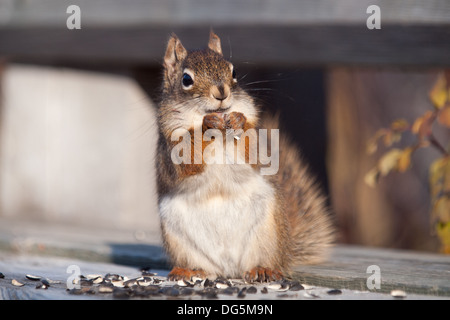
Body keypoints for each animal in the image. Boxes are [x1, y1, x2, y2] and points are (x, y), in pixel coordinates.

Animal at [156, 31, 334, 282]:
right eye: (186, 79)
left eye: (234, 72)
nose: (221, 92)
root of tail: (228, 269)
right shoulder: (169, 148)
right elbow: (187, 159)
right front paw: (205, 125)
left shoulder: (258, 146)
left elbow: (254, 151)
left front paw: (238, 120)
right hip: (176, 236)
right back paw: (189, 270)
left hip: (269, 231)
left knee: (266, 260)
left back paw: (264, 269)